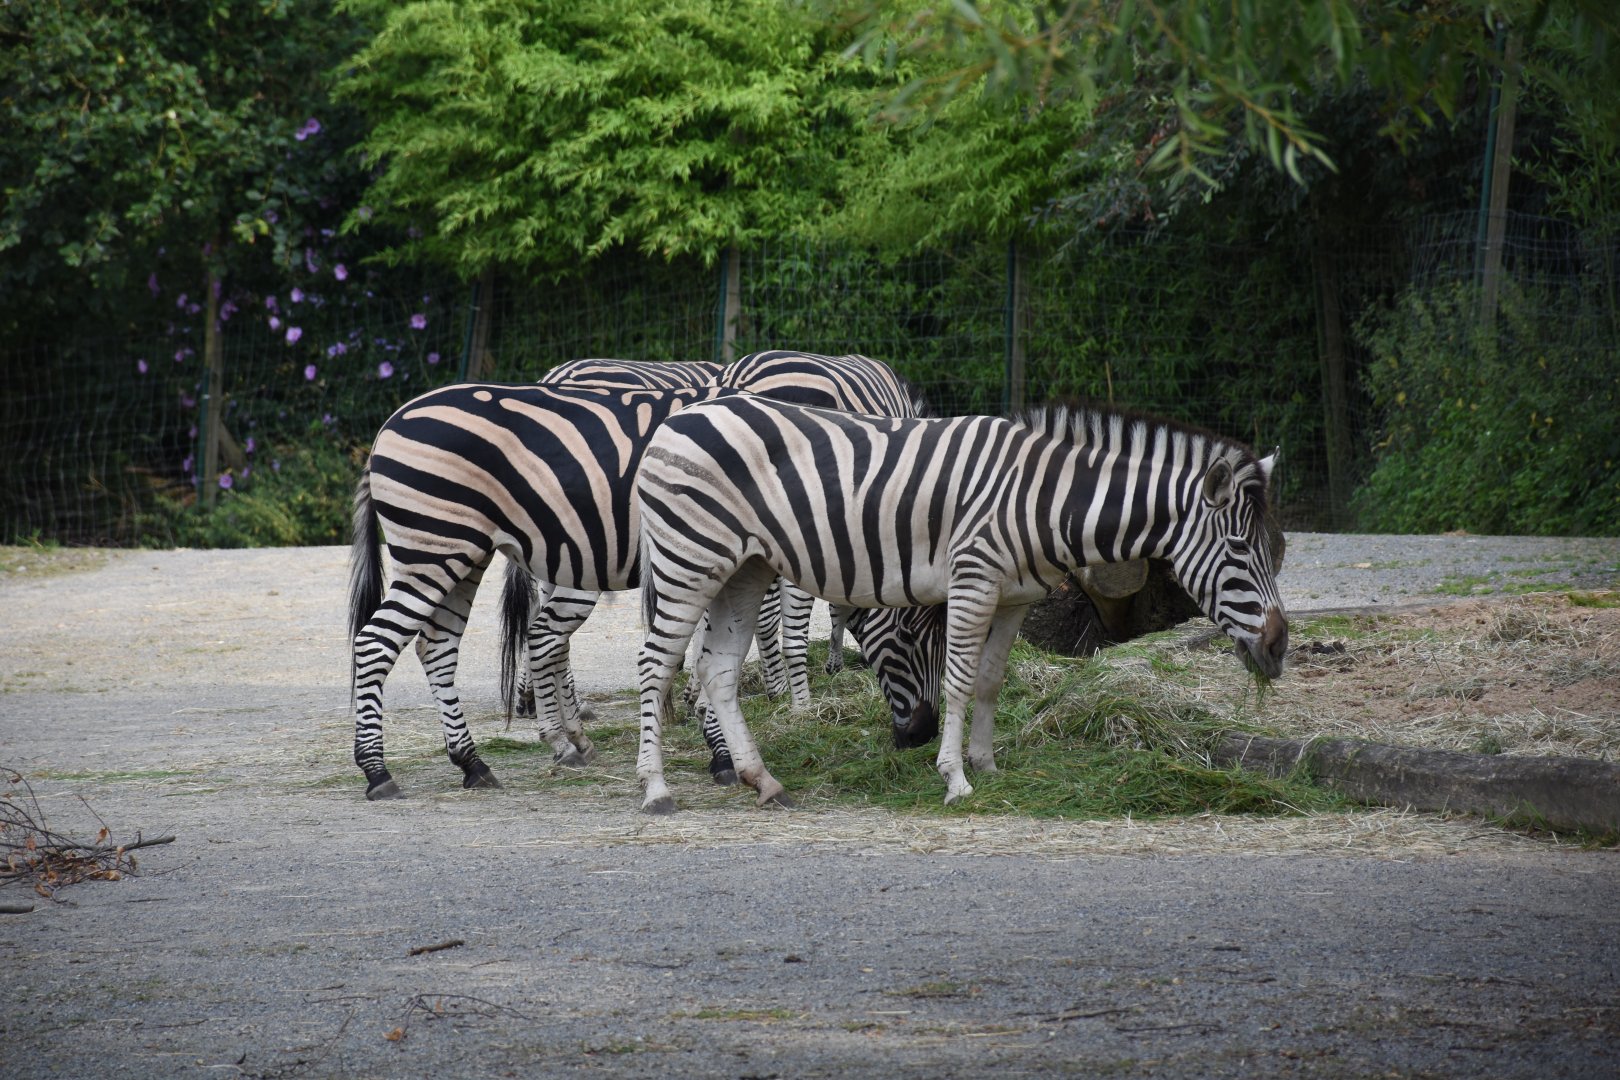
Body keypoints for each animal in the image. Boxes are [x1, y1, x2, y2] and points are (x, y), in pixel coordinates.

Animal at [631, 396, 1288, 813]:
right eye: (1238, 549)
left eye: (1272, 550)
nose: (1280, 647)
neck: (1043, 499)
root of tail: (677, 418)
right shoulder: (973, 579)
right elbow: (960, 679)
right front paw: (955, 779)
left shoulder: (1016, 597)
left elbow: (992, 679)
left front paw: (986, 764)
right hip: (689, 558)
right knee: (655, 662)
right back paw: (656, 790)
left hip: (743, 567)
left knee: (717, 670)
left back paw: (763, 781)